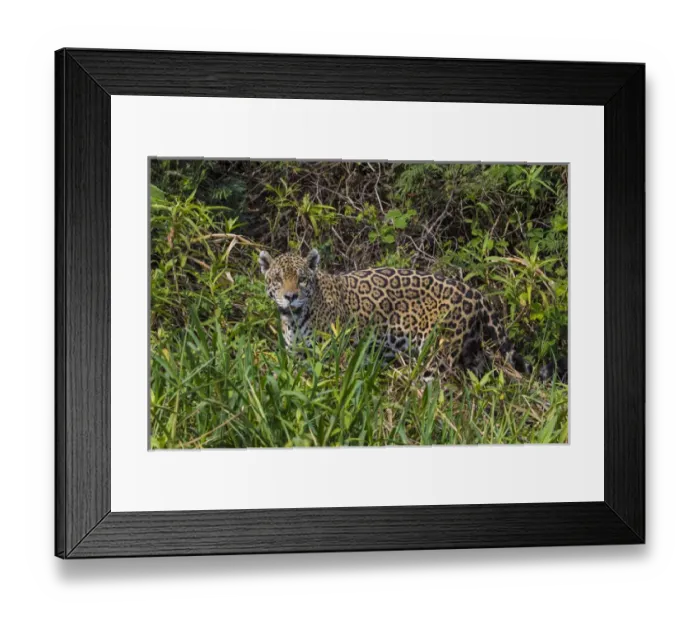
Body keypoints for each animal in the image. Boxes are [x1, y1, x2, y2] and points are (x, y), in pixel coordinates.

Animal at [258, 248, 554, 381]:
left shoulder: (337, 357)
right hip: (471, 352)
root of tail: (475, 293)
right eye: (277, 278)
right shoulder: (298, 357)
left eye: (302, 279)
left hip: (436, 355)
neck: (295, 319)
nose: (290, 296)